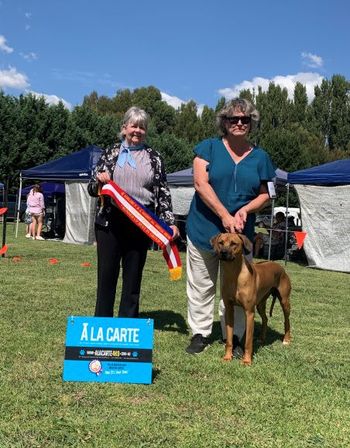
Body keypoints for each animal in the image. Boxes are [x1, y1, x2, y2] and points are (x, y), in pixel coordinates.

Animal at [212, 233, 292, 366]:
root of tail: (279, 266)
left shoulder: (249, 312)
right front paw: (227, 357)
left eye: (233, 243)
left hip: (284, 301)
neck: (234, 274)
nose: (223, 252)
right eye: (221, 242)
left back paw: (286, 339)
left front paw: (246, 360)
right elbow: (229, 339)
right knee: (265, 319)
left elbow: (248, 341)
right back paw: (261, 338)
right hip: (260, 303)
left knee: (287, 320)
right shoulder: (229, 309)